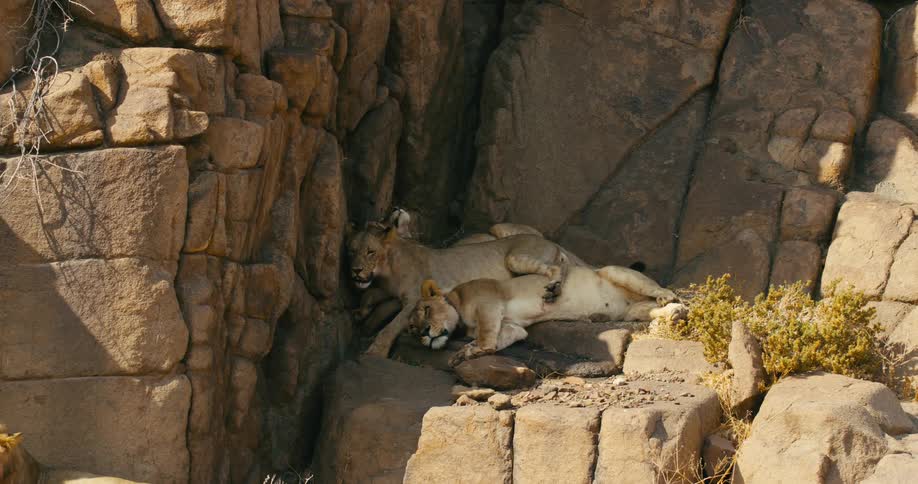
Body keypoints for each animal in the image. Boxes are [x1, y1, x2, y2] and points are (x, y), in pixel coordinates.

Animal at [346, 212, 587, 356]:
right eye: (352, 251)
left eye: (370, 252)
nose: (355, 270)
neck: (388, 268)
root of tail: (551, 242)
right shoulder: (393, 294)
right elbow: (375, 298)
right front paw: (361, 314)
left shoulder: (413, 297)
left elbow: (391, 325)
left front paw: (375, 350)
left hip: (515, 257)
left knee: (559, 268)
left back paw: (554, 287)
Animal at [407, 265, 686, 366]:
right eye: (412, 329)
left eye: (427, 310)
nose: (424, 333)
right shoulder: (512, 327)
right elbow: (498, 341)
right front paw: (466, 352)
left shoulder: (489, 303)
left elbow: (486, 338)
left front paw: (470, 350)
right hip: (633, 310)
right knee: (652, 308)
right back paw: (674, 314)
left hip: (617, 273)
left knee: (661, 290)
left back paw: (668, 298)